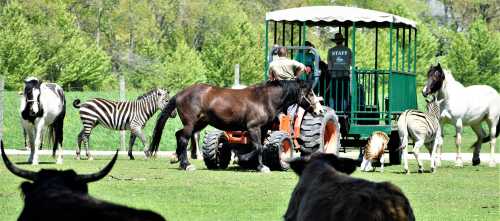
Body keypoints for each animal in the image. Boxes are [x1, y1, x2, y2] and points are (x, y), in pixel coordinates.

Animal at [147, 80, 324, 173]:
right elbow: (258, 147)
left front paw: (255, 163)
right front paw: (253, 163)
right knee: (183, 138)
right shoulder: (253, 128)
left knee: (179, 135)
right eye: (310, 93)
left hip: (200, 123)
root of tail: (181, 93)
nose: (320, 110)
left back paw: (176, 158)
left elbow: (259, 146)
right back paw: (186, 164)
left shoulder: (263, 129)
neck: (264, 99)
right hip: (191, 123)